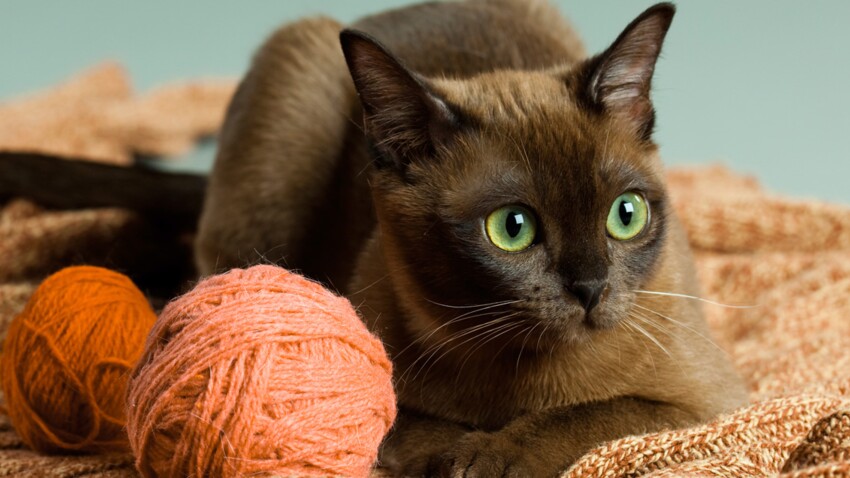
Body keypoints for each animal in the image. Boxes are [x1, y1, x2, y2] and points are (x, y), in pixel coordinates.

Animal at [190, 1, 744, 476]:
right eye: (512, 228)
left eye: (625, 215)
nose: (591, 288)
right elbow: (410, 430)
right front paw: (460, 459)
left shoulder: (704, 408)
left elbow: (587, 417)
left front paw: (486, 458)